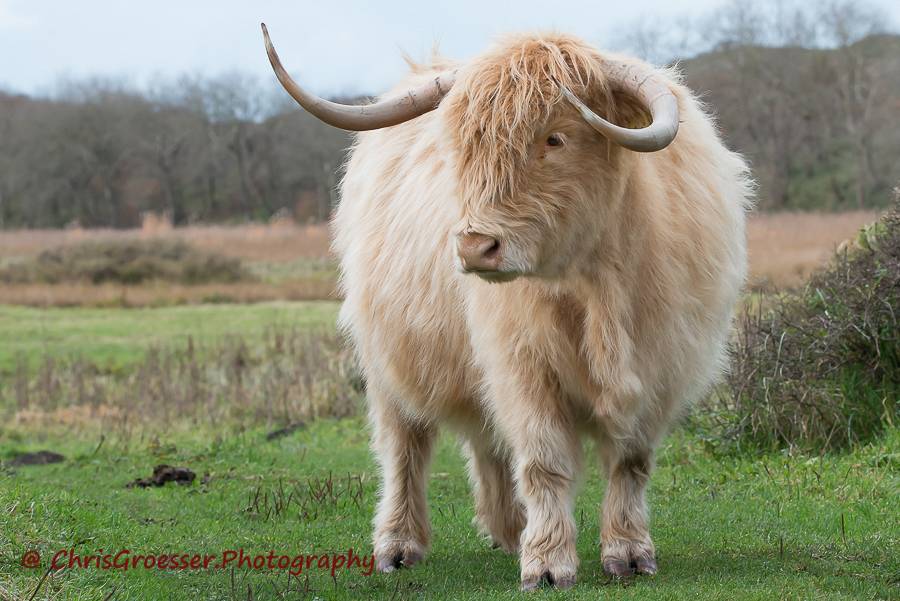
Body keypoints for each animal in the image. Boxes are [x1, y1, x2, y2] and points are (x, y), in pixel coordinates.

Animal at [266, 24, 752, 592]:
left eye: (555, 138)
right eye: (466, 144)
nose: (476, 247)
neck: (599, 285)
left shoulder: (661, 367)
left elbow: (630, 462)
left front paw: (629, 553)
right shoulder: (523, 364)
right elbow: (543, 460)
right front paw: (547, 563)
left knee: (486, 441)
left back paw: (508, 530)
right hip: (387, 361)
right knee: (404, 449)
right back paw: (399, 546)